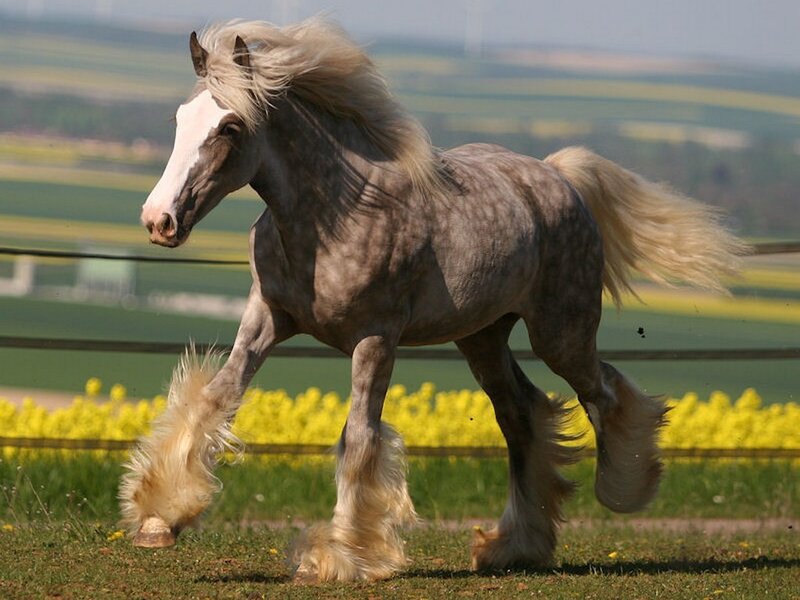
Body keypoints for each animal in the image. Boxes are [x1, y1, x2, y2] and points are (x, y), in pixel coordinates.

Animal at [120, 18, 747, 582]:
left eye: (229, 126)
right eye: (181, 118)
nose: (159, 220)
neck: (333, 218)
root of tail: (558, 176)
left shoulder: (376, 339)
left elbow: (358, 439)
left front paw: (338, 560)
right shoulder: (267, 319)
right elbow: (214, 399)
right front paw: (158, 519)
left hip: (559, 331)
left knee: (605, 392)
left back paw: (625, 490)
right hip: (483, 338)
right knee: (523, 416)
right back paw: (512, 547)